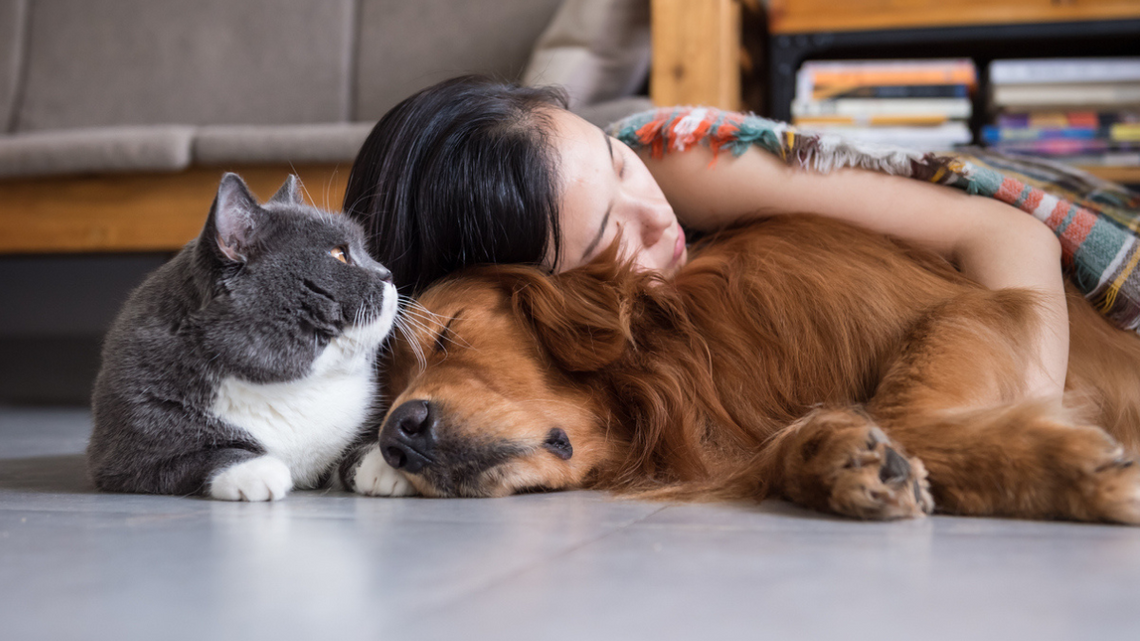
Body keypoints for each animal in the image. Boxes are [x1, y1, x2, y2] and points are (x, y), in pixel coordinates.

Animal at [88, 171, 417, 499]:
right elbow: (197, 457)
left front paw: (385, 465)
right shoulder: (127, 452)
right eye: (339, 254)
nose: (388, 273)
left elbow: (354, 446)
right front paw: (255, 470)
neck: (291, 387)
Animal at [364, 216, 1140, 522]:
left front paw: (1081, 471)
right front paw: (835, 458)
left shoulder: (967, 307)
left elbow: (901, 409)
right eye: (384, 402)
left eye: (449, 333)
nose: (398, 437)